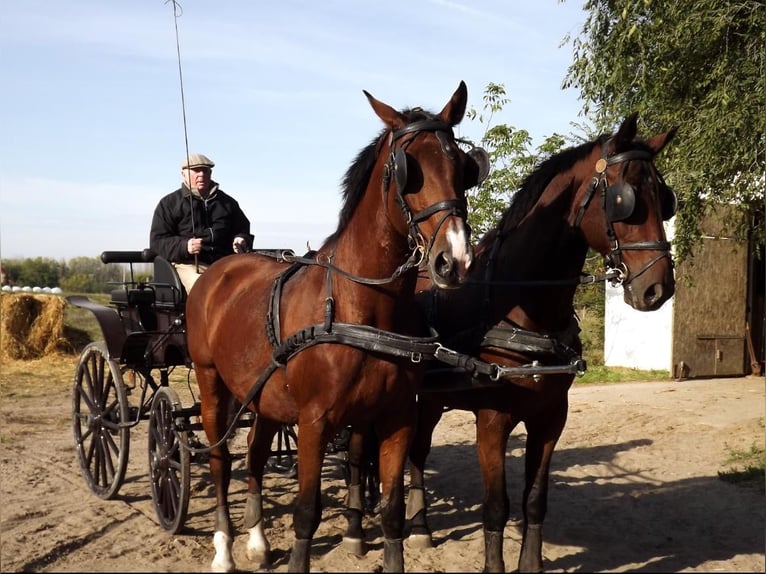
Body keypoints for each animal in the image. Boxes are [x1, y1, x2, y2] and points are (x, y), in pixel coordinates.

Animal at [184, 82, 488, 574]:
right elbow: (307, 513)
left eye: (463, 167)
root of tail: (219, 268)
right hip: (212, 384)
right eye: (407, 169)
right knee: (220, 460)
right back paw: (224, 548)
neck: (361, 309)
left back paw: (257, 541)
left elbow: (391, 511)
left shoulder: (397, 418)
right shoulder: (314, 422)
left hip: (263, 397)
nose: (455, 260)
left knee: (254, 453)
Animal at [342, 112, 680, 572]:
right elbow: (496, 506)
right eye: (624, 199)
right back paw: (355, 529)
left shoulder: (551, 417)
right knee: (359, 454)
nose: (657, 288)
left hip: (427, 401)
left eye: (664, 198)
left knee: (418, 453)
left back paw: (422, 527)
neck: (522, 308)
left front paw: (531, 563)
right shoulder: (493, 420)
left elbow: (534, 500)